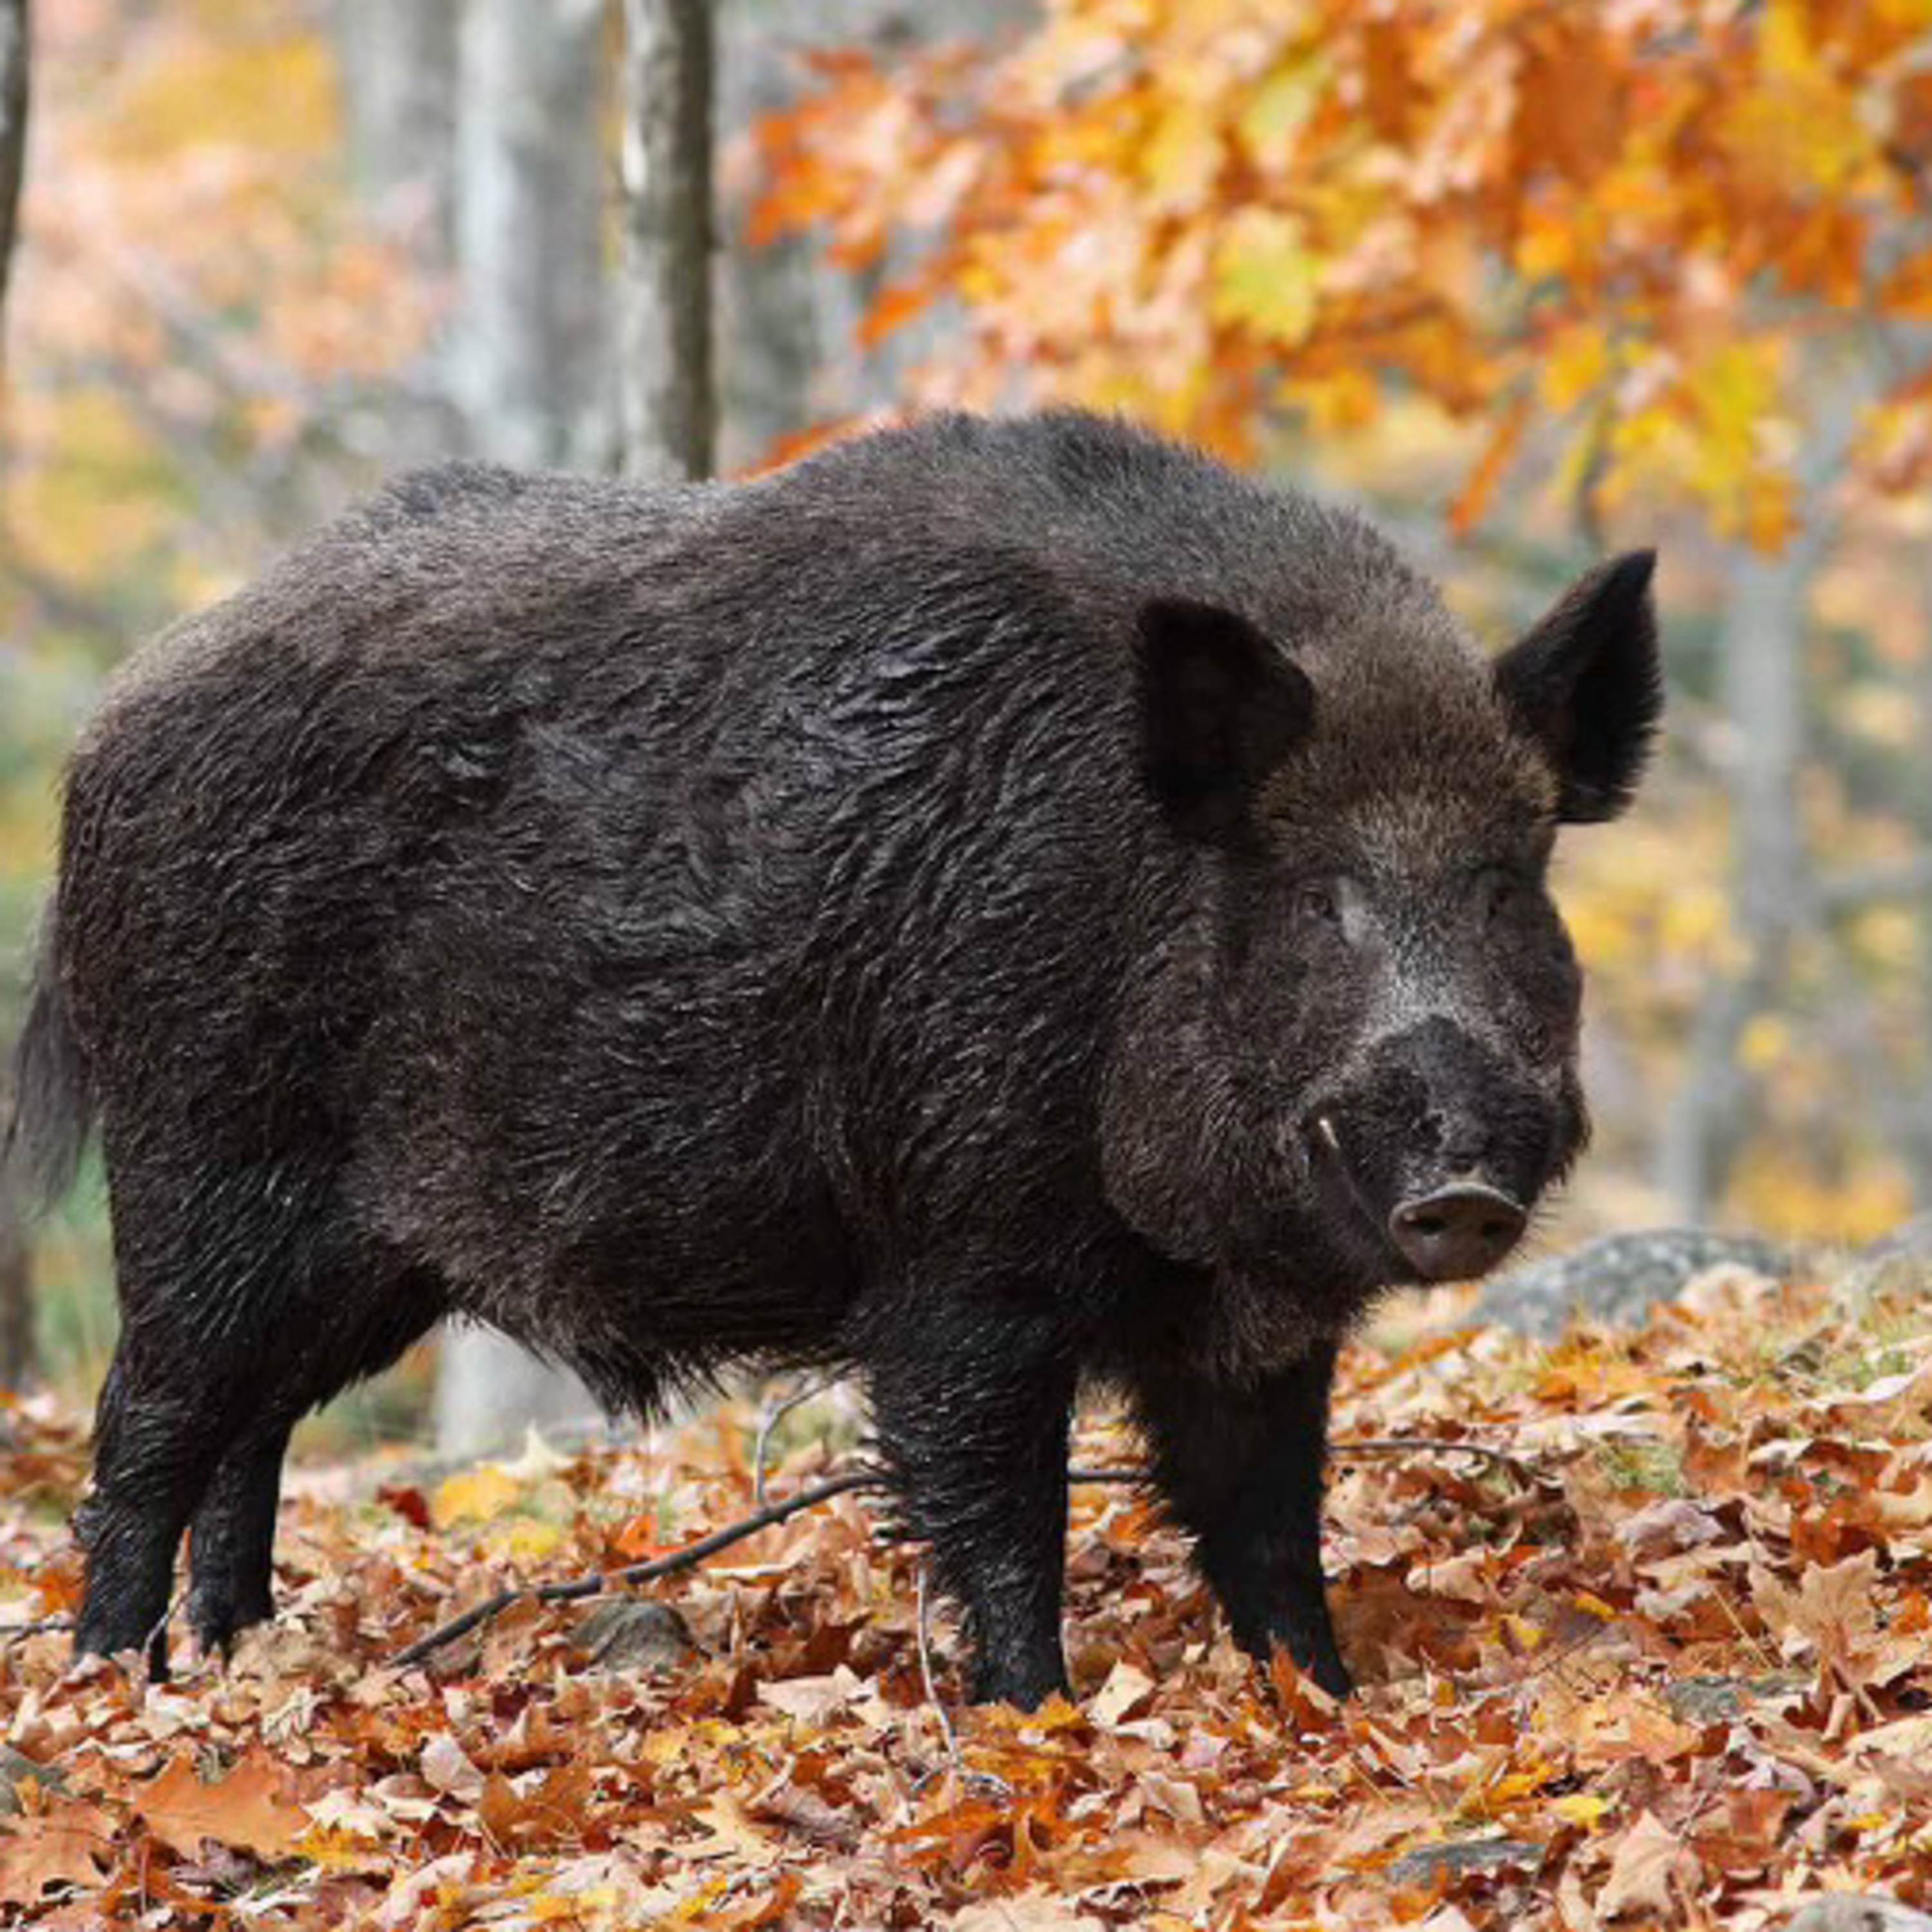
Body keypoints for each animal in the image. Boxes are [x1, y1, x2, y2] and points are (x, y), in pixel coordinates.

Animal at [5, 411, 1660, 1703]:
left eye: (1509, 884)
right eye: (1318, 896)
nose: (1460, 1183)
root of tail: (111, 726)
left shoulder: (1248, 1324)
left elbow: (1266, 1520)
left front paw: (1321, 1698)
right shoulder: (959, 1260)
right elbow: (997, 1509)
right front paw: (1031, 1717)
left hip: (362, 1255)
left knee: (252, 1427)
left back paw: (233, 1656)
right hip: (202, 1163)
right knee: (149, 1420)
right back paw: (114, 1685)